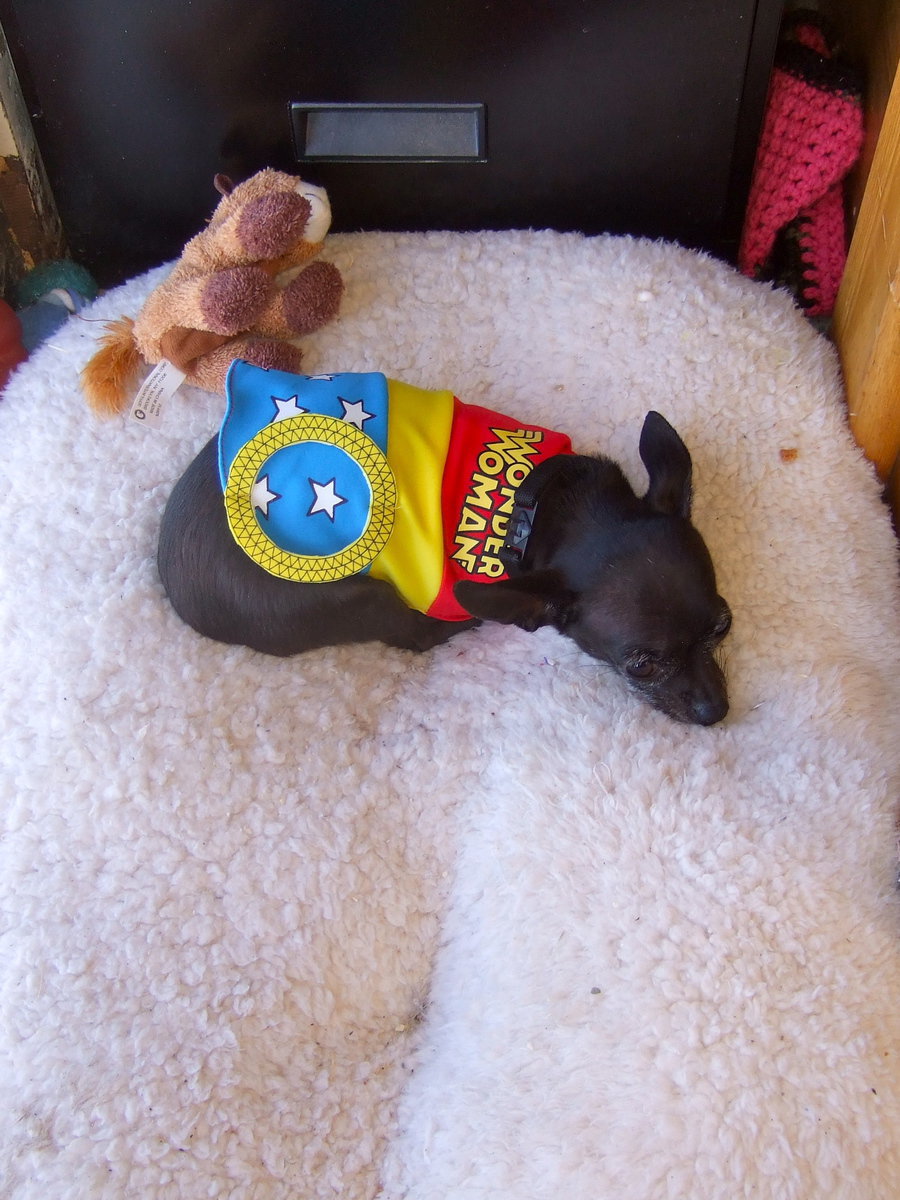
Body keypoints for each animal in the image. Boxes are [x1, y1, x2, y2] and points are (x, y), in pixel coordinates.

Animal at [157, 408, 734, 724]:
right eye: (641, 665)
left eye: (723, 627)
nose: (717, 713)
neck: (549, 504)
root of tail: (176, 587)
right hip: (347, 591)